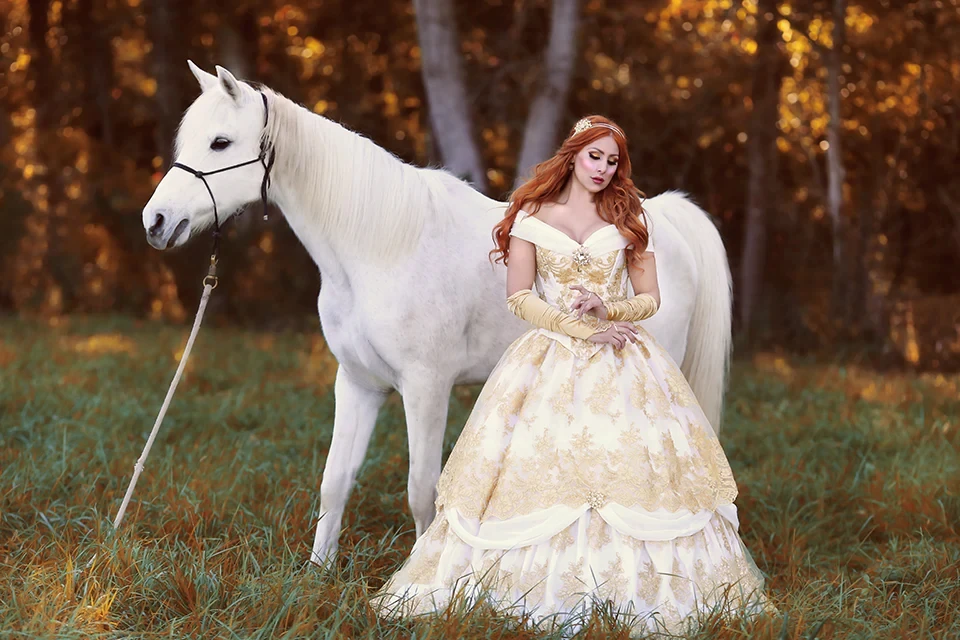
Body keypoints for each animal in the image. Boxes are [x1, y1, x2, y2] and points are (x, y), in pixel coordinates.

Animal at [141, 62, 728, 568]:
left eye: (221, 142)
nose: (156, 221)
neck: (381, 248)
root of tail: (662, 219)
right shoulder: (358, 383)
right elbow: (335, 481)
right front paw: (316, 574)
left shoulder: (426, 387)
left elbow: (423, 489)